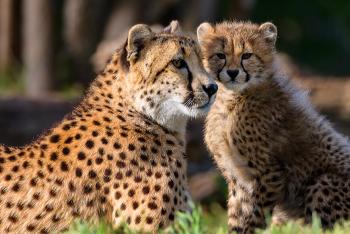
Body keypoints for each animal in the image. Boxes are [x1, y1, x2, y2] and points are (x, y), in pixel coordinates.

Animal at [198, 21, 350, 233]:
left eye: (247, 55)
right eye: (220, 55)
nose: (233, 72)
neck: (230, 99)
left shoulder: (268, 174)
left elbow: (255, 215)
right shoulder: (237, 178)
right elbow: (237, 216)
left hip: (323, 182)